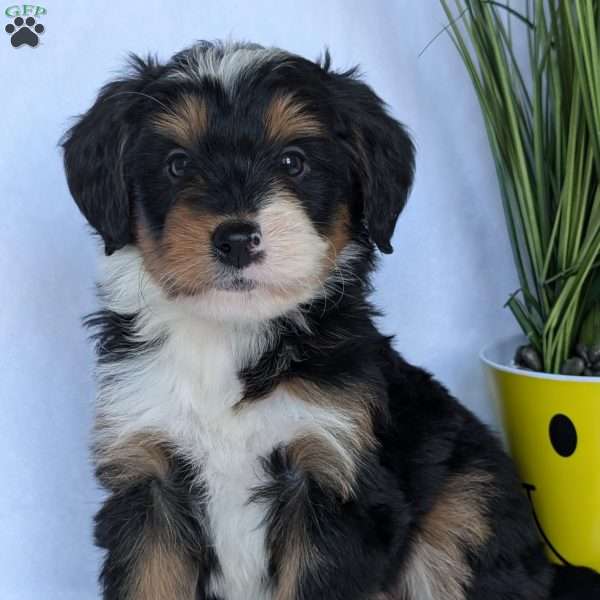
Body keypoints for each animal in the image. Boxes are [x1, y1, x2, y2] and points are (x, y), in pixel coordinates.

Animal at [61, 39, 596, 596]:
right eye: (177, 164)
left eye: (293, 162)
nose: (236, 238)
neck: (229, 337)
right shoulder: (149, 481)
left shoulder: (333, 477)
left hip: (464, 507)